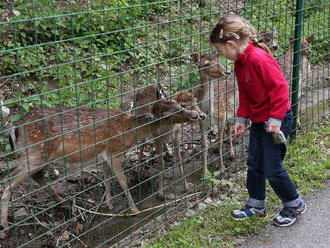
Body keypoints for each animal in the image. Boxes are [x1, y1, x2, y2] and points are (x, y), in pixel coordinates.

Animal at [0, 96, 202, 232]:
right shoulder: (114, 151)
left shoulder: (103, 154)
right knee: (8, 181)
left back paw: (62, 201)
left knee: (36, 176)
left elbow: (106, 178)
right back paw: (4, 225)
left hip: (37, 155)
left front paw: (110, 205)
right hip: (34, 153)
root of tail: (15, 127)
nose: (196, 115)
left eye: (178, 105)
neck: (130, 131)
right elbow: (122, 180)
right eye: (170, 113)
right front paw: (134, 209)